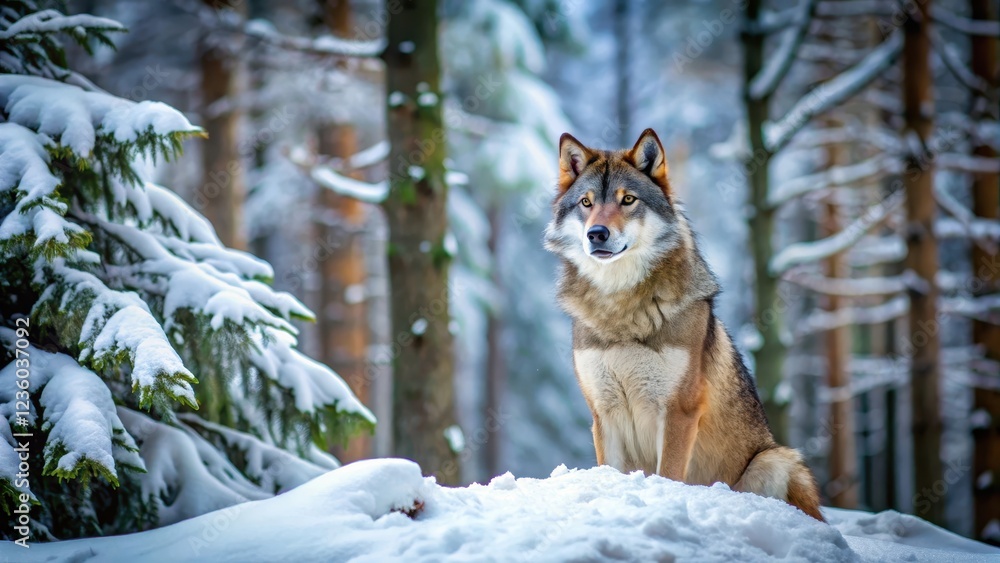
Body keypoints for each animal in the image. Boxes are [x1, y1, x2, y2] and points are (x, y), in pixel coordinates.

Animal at [544, 128, 824, 521]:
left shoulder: (679, 410)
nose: (596, 233)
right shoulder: (603, 413)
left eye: (627, 200)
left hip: (773, 460)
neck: (620, 308)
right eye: (586, 203)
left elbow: (670, 473)